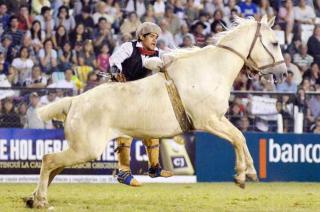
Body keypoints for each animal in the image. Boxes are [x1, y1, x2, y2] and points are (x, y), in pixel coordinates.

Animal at [24, 15, 284, 208]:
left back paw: (33, 198)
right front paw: (242, 174)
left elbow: (240, 138)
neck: (210, 70)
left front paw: (248, 173)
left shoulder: (218, 119)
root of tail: (75, 101)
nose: (283, 74)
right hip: (86, 149)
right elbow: (238, 138)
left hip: (81, 148)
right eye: (275, 43)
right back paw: (41, 200)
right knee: (49, 160)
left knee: (54, 166)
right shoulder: (209, 121)